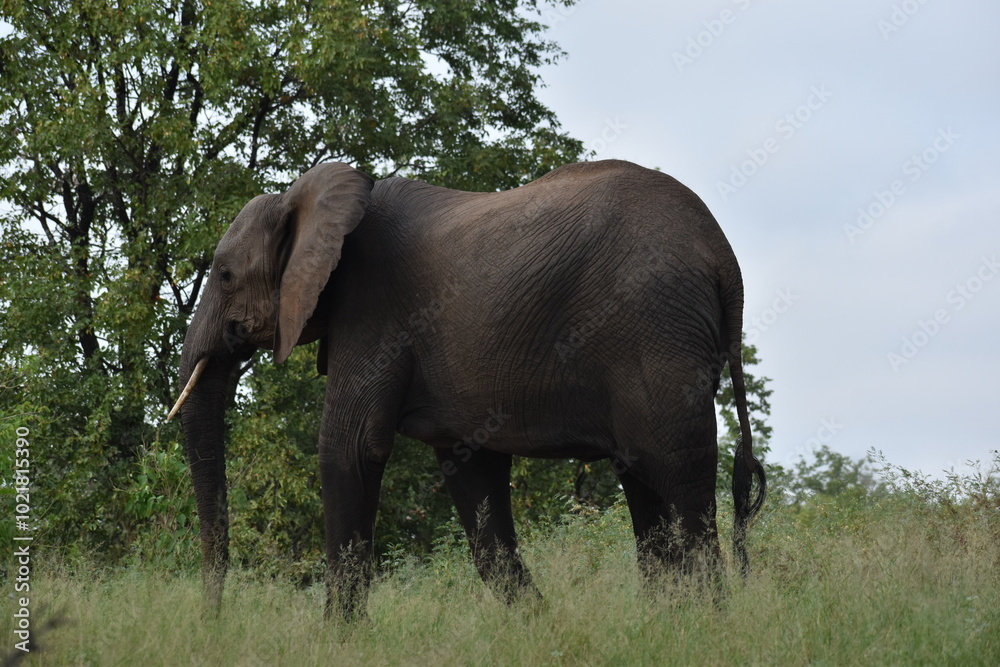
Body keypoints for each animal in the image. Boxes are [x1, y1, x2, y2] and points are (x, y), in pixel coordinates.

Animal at [168, 159, 766, 620]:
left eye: (223, 276)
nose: (212, 620)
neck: (317, 200)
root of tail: (723, 256)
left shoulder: (372, 313)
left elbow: (350, 449)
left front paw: (335, 643)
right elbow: (473, 477)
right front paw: (537, 629)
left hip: (657, 333)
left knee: (682, 483)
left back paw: (709, 627)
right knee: (645, 483)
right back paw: (664, 623)